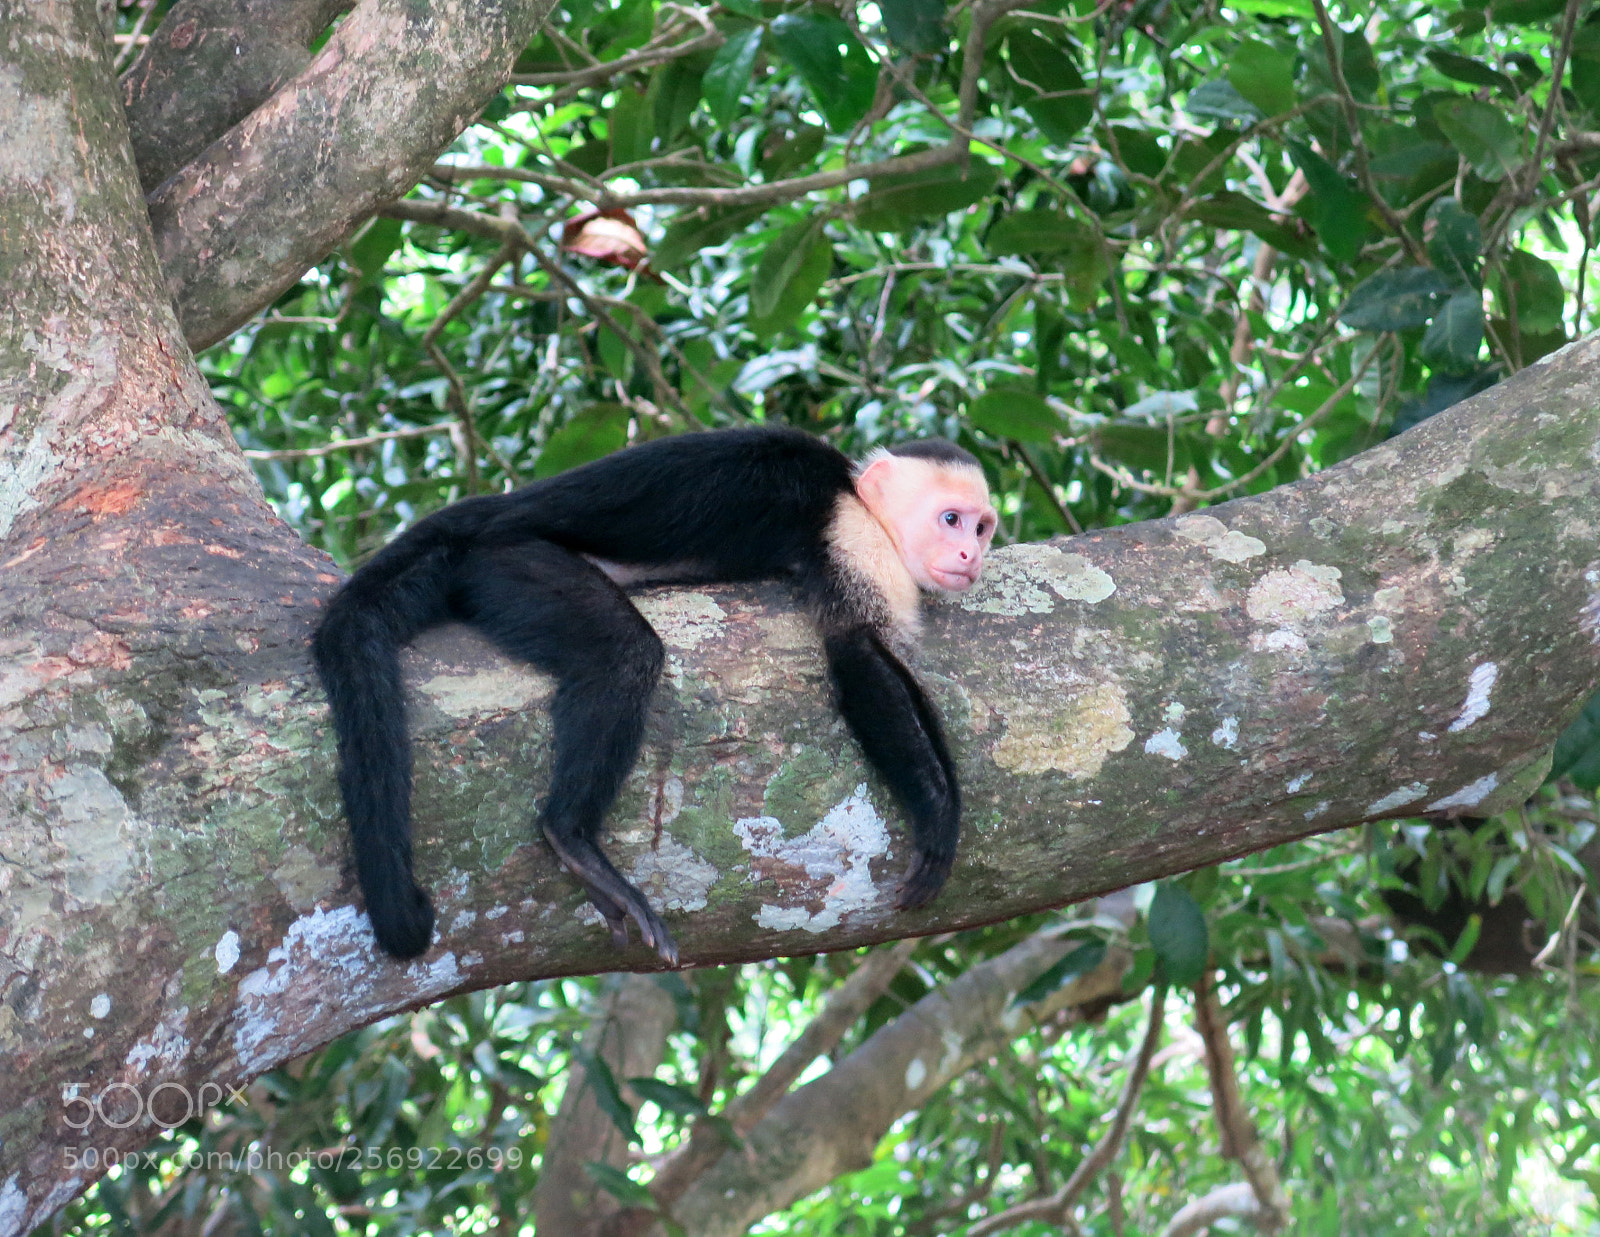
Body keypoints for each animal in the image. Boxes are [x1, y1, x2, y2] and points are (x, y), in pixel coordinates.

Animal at [312, 426, 997, 966]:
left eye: (982, 527)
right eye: (951, 520)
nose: (971, 554)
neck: (861, 504)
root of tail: (488, 513)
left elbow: (893, 668)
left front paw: (952, 807)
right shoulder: (853, 541)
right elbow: (857, 658)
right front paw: (936, 819)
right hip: (502, 564)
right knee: (625, 654)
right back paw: (572, 837)